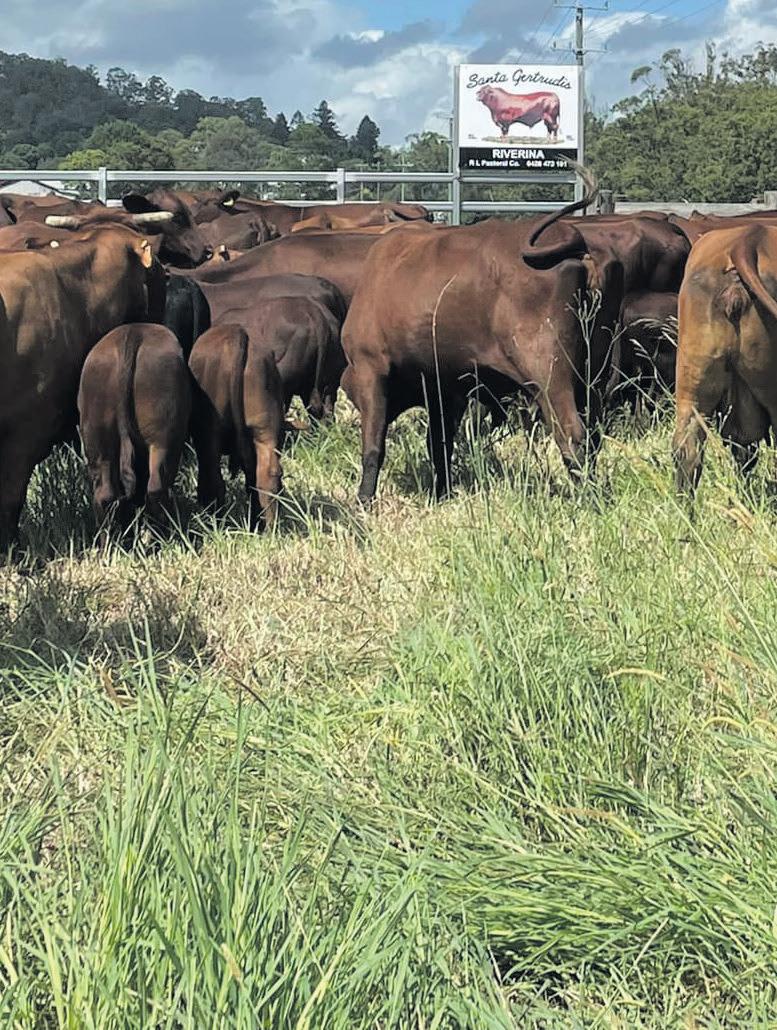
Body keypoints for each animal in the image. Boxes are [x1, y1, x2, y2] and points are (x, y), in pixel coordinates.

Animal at [188, 325, 285, 530]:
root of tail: (237, 334)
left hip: (210, 433)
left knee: (214, 480)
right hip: (266, 429)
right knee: (266, 477)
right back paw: (264, 527)